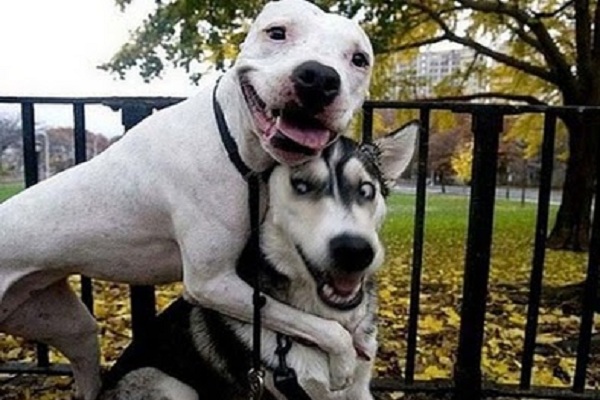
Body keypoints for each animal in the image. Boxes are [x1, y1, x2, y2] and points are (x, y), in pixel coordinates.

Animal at [0, 1, 373, 398]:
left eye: (359, 59)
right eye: (277, 32)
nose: (318, 77)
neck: (234, 137)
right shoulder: (212, 284)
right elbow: (324, 327)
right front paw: (344, 359)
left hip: (67, 326)